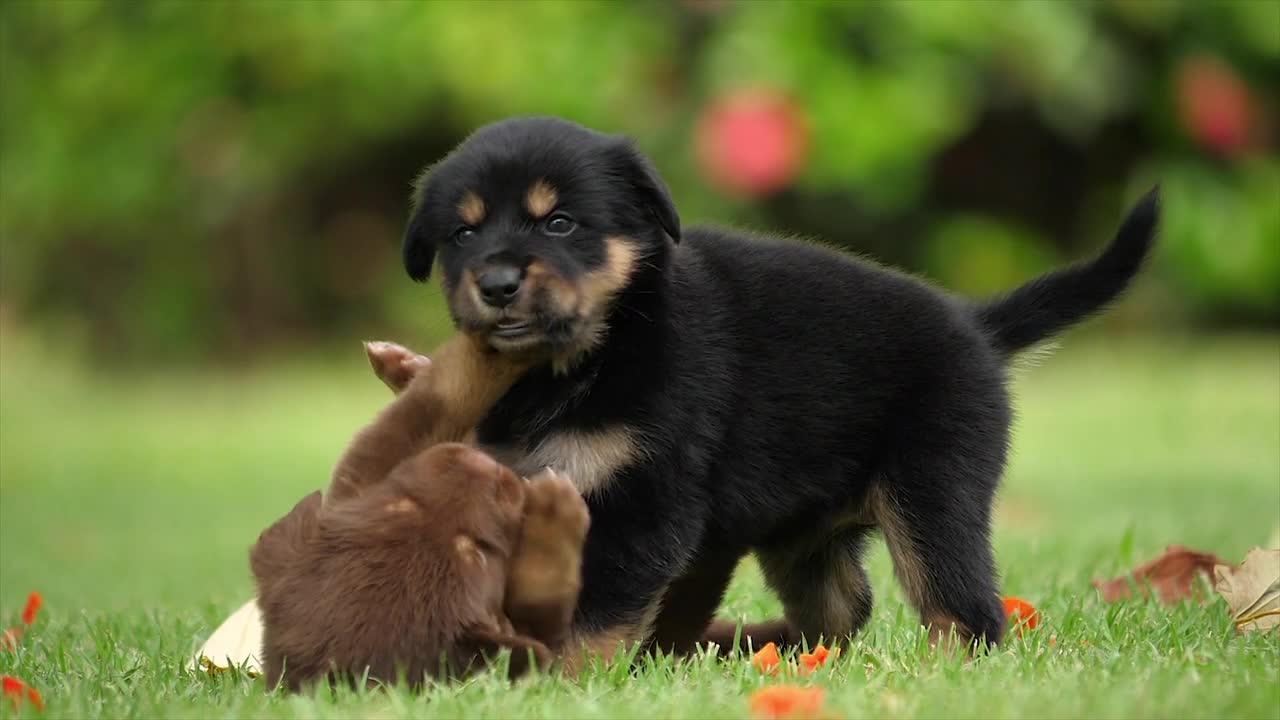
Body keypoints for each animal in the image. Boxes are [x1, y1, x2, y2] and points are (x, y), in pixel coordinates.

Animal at [249, 335, 588, 691]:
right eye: (481, 554)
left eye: (400, 505)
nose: (481, 463)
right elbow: (544, 602)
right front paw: (555, 509)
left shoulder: (352, 487)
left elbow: (418, 412)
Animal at [401, 116, 1162, 655]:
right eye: (463, 234)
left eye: (559, 223)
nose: (497, 284)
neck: (597, 352)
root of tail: (975, 325)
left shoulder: (642, 505)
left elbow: (594, 617)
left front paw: (563, 681)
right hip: (805, 534)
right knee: (847, 602)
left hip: (934, 492)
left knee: (965, 610)